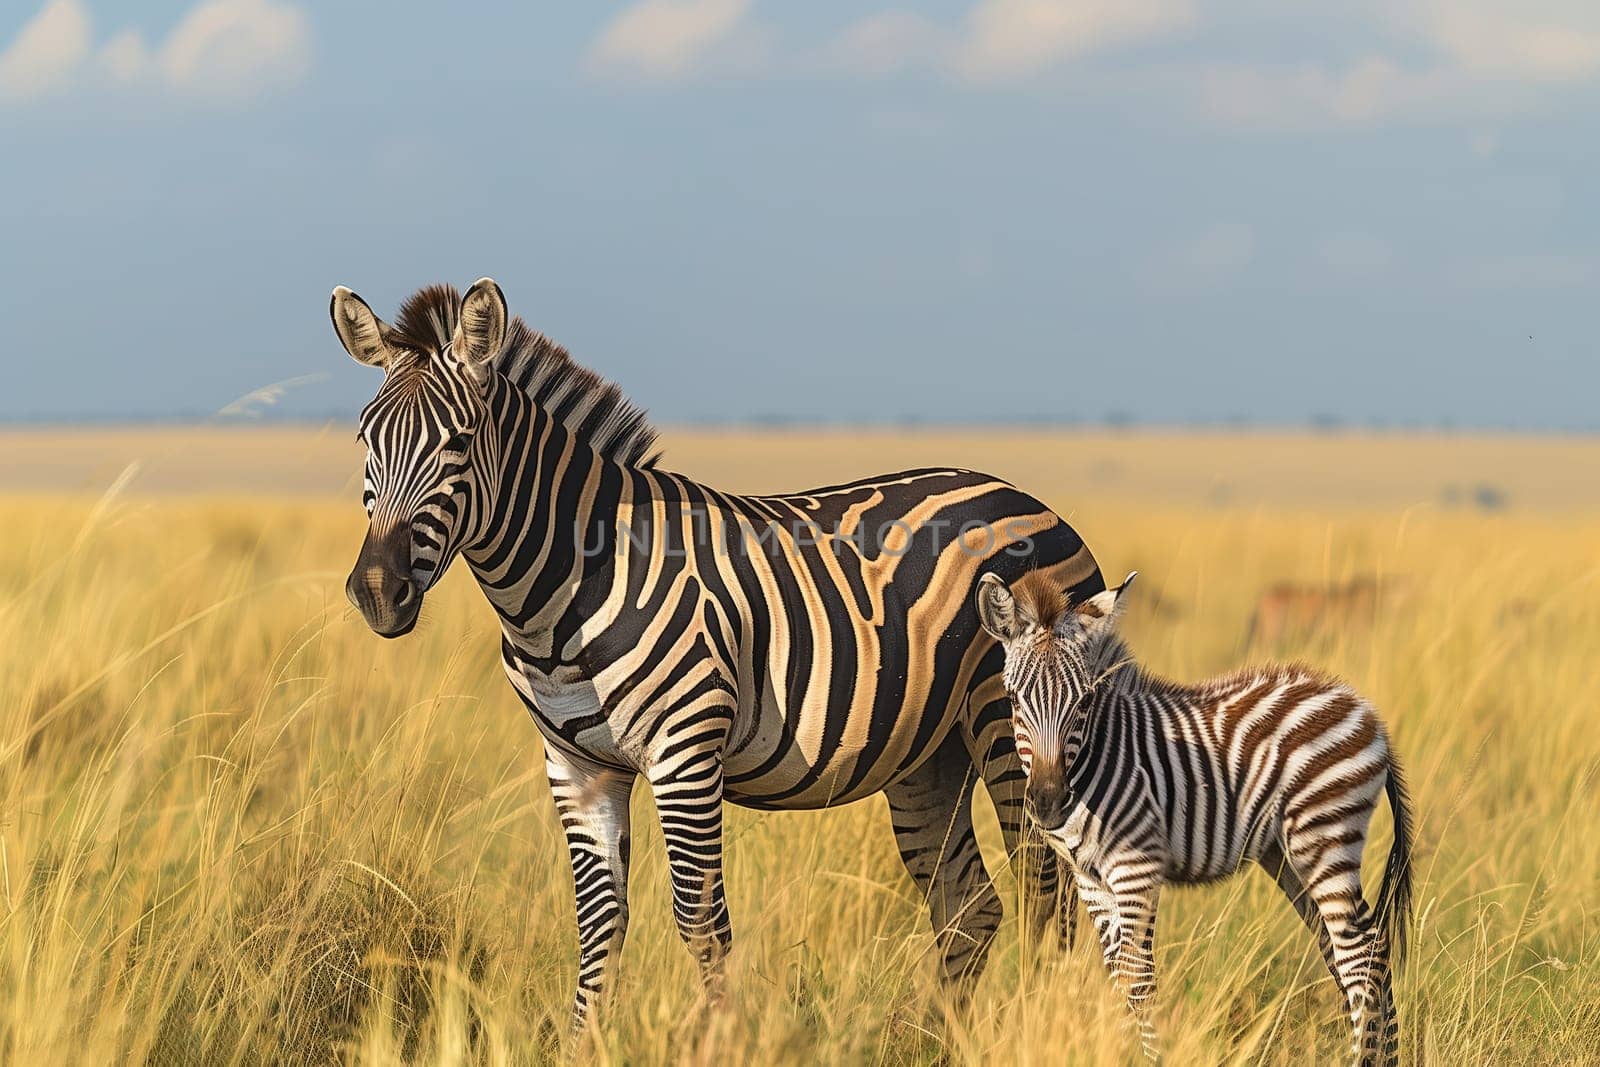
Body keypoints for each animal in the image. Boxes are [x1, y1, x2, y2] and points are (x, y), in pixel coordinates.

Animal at [324, 279, 1100, 1030]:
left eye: (458, 443)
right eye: (363, 438)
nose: (378, 592)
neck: (567, 592)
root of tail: (1029, 499)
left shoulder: (686, 752)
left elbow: (701, 924)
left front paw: (720, 1037)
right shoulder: (577, 767)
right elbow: (599, 924)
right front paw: (585, 1044)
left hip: (1011, 731)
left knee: (1049, 897)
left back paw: (1041, 1026)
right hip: (930, 754)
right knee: (971, 906)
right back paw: (929, 1039)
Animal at [972, 572, 1414, 1062]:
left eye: (1084, 701)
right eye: (1013, 699)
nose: (1049, 801)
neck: (1098, 755)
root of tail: (1364, 710)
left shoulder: (1136, 867)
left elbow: (1137, 979)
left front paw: (1148, 1058)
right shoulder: (1089, 879)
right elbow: (1117, 974)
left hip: (1325, 836)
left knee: (1358, 959)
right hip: (1292, 854)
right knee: (1366, 947)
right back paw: (1390, 1056)